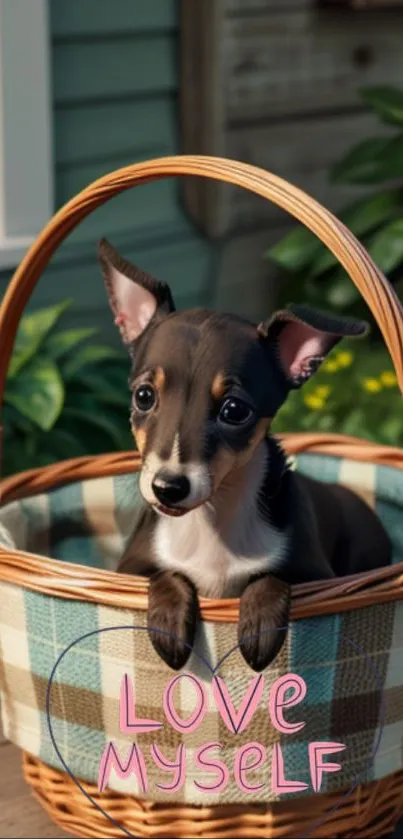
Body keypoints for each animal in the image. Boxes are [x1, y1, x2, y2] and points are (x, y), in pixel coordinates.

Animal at [98, 240, 392, 672]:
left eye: (234, 410)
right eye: (144, 396)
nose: (168, 487)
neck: (212, 520)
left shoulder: (317, 575)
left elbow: (270, 577)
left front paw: (259, 627)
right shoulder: (131, 568)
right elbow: (167, 574)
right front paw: (169, 625)